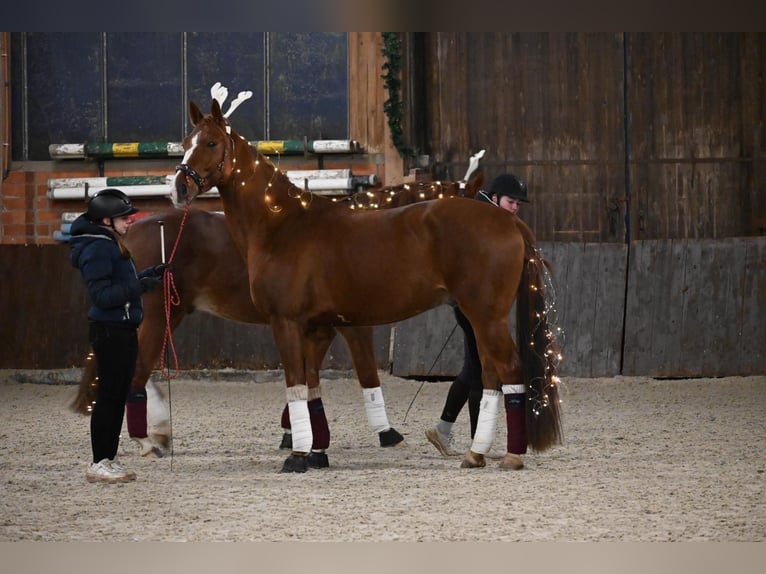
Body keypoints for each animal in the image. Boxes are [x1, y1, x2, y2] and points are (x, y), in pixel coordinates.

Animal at [69, 179, 484, 460]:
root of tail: (133, 232)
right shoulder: (352, 326)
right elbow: (367, 375)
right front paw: (385, 432)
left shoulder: (315, 324)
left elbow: (307, 373)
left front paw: (294, 432)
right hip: (158, 316)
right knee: (137, 372)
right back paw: (147, 441)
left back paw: (157, 433)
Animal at [172, 100, 564, 476]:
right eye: (185, 142)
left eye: (211, 143)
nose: (179, 187)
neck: (282, 225)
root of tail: (507, 221)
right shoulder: (318, 328)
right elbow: (312, 388)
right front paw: (316, 452)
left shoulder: (287, 323)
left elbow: (297, 385)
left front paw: (298, 455)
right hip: (481, 320)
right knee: (491, 376)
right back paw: (476, 453)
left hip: (485, 317)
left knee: (508, 372)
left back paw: (509, 455)